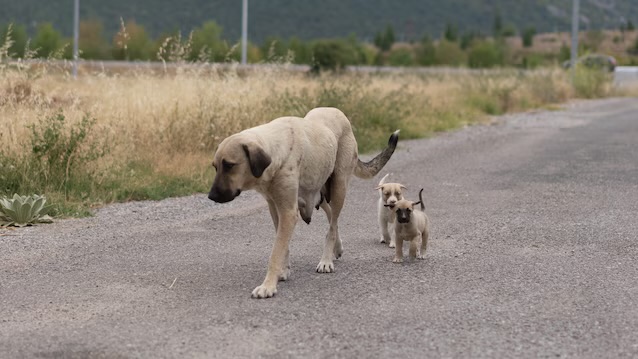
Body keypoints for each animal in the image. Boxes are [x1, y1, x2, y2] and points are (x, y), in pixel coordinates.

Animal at [210, 108, 400, 300]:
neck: (276, 150)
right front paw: (283, 272)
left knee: (332, 225)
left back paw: (326, 260)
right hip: (316, 193)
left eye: (229, 165)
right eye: (215, 166)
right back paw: (337, 248)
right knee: (331, 215)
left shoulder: (288, 212)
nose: (211, 196)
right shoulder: (275, 207)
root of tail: (337, 111)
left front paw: (268, 286)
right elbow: (283, 246)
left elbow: (276, 251)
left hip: (339, 187)